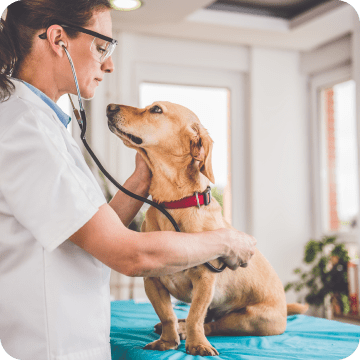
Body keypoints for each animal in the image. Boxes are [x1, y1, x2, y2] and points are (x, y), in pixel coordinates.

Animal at [105, 102, 308, 358]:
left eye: (156, 109)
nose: (109, 107)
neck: (173, 204)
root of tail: (284, 306)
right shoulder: (152, 281)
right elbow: (167, 314)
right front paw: (167, 341)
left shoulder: (205, 280)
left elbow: (195, 316)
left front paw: (196, 344)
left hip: (251, 320)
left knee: (212, 324)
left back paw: (188, 331)